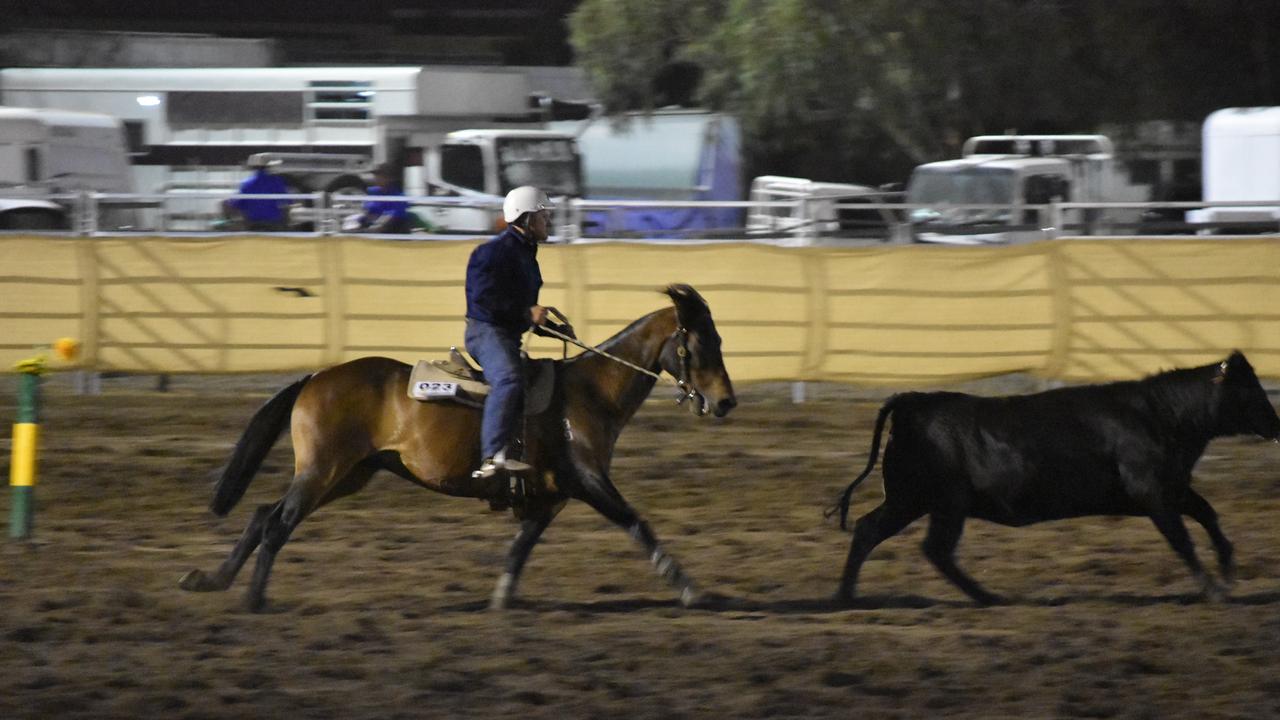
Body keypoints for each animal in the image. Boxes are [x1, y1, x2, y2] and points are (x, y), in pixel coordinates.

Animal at [183, 283, 742, 607]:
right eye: (701, 343)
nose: (726, 402)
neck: (588, 392)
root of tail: (317, 377)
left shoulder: (553, 494)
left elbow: (522, 546)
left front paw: (500, 599)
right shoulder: (589, 481)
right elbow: (637, 524)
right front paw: (688, 587)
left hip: (346, 475)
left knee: (264, 514)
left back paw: (211, 580)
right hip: (324, 470)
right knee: (278, 522)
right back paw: (253, 599)